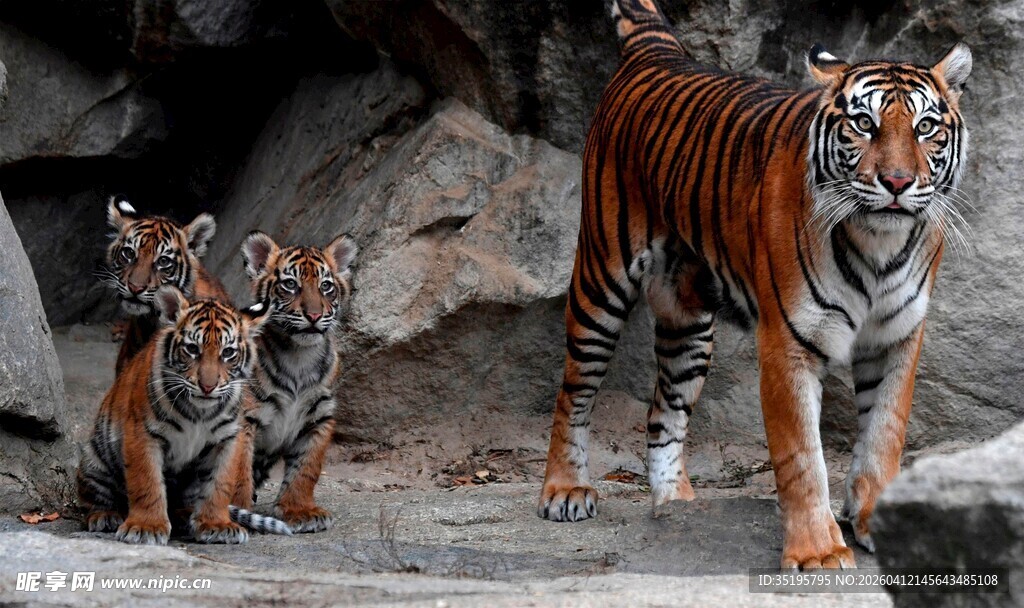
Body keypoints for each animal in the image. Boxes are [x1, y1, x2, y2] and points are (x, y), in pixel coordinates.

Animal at [76, 286, 292, 544]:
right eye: (192, 349)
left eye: (228, 353)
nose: (207, 386)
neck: (200, 412)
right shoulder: (142, 434)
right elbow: (147, 482)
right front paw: (146, 528)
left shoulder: (228, 439)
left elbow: (220, 484)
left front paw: (216, 525)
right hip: (96, 459)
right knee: (93, 497)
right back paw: (105, 516)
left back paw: (185, 517)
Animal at [239, 231, 358, 532]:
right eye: (290, 284)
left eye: (326, 286)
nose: (314, 316)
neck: (299, 357)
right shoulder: (245, 417)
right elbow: (236, 469)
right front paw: (233, 512)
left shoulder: (319, 417)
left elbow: (306, 469)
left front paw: (300, 511)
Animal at [538, 0, 971, 570]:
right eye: (864, 124)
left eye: (925, 128)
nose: (897, 183)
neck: (879, 243)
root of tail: (656, 54)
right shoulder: (788, 341)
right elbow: (802, 455)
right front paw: (818, 552)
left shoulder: (896, 336)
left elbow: (885, 434)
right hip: (600, 279)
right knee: (574, 391)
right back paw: (565, 490)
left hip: (688, 324)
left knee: (663, 412)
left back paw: (677, 508)